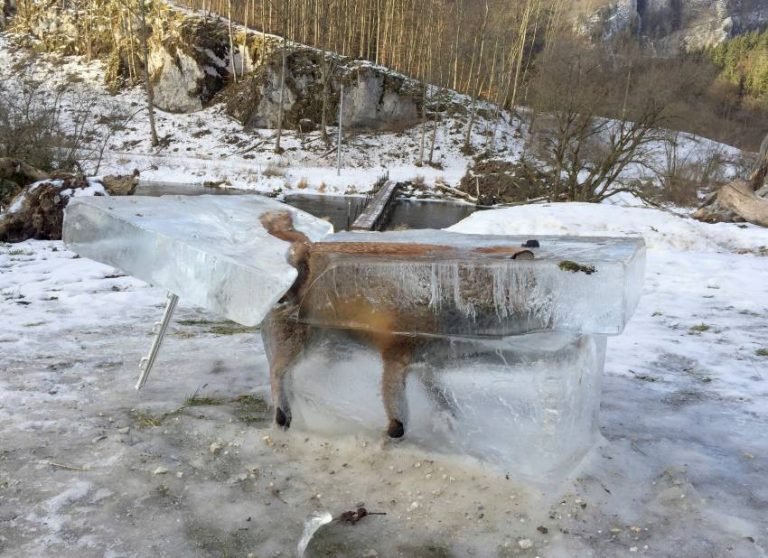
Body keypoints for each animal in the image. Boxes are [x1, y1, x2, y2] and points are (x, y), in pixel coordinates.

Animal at [260, 211, 536, 442]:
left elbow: (442, 398)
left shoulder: (426, 362)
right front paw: (392, 436)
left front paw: (448, 421)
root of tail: (308, 247)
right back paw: (283, 414)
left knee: (298, 374)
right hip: (302, 341)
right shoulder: (396, 356)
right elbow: (399, 415)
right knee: (277, 372)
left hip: (331, 346)